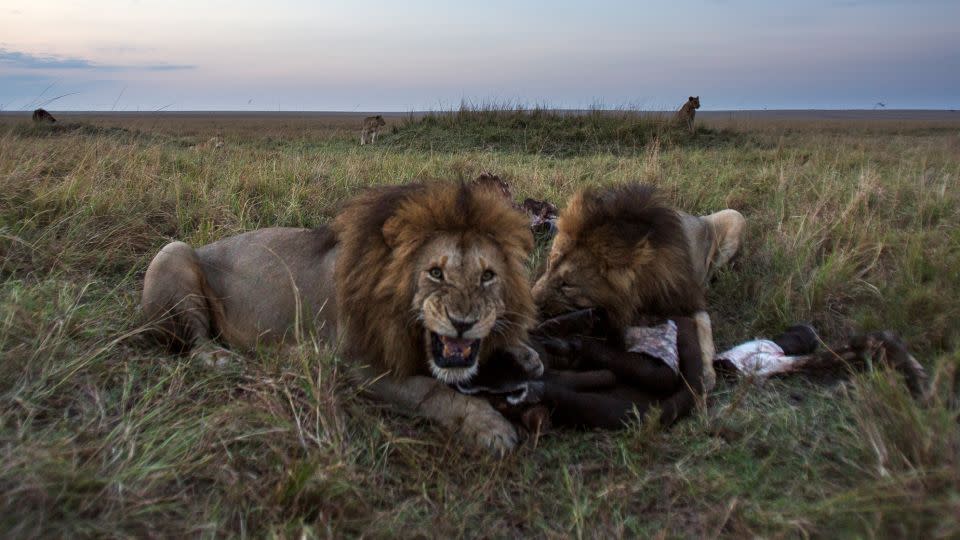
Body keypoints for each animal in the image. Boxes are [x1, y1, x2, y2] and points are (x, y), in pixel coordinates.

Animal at [141, 181, 540, 456]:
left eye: (487, 276)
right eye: (435, 273)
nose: (463, 322)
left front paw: (524, 353)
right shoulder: (362, 365)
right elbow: (434, 392)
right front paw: (488, 424)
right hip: (173, 252)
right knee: (195, 345)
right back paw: (227, 359)